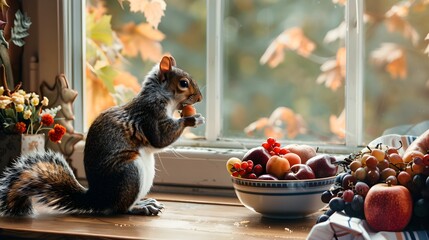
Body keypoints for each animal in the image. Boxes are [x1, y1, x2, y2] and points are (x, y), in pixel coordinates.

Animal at [0, 55, 205, 217]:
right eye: (184, 83)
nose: (199, 98)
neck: (161, 96)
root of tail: (98, 198)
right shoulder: (150, 115)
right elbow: (161, 138)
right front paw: (192, 119)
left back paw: (143, 202)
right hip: (130, 173)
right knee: (119, 208)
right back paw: (139, 207)